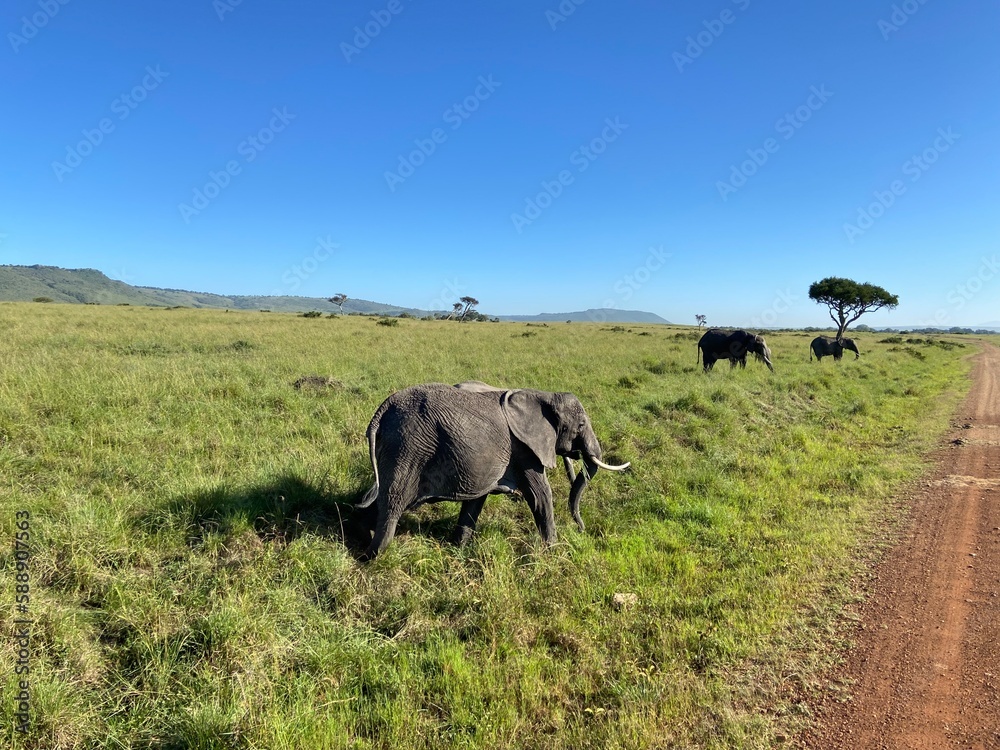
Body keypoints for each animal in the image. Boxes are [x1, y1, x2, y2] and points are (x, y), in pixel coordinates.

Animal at [356, 382, 630, 560]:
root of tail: (382, 410)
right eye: (581, 425)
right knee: (392, 503)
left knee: (377, 499)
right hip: (408, 447)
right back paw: (372, 556)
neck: (543, 395)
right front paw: (555, 551)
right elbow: (540, 495)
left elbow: (476, 500)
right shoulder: (524, 450)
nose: (582, 529)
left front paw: (460, 549)